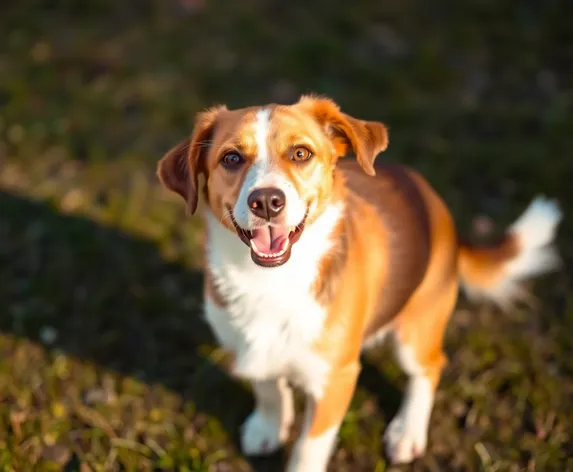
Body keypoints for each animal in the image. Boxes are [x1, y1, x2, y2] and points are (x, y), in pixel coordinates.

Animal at [158, 94, 564, 470]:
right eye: (231, 158)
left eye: (301, 153)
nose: (267, 201)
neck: (269, 279)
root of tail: (443, 215)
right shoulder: (245, 347)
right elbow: (268, 389)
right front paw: (268, 427)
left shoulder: (334, 380)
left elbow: (309, 447)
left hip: (415, 331)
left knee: (430, 367)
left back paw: (407, 432)